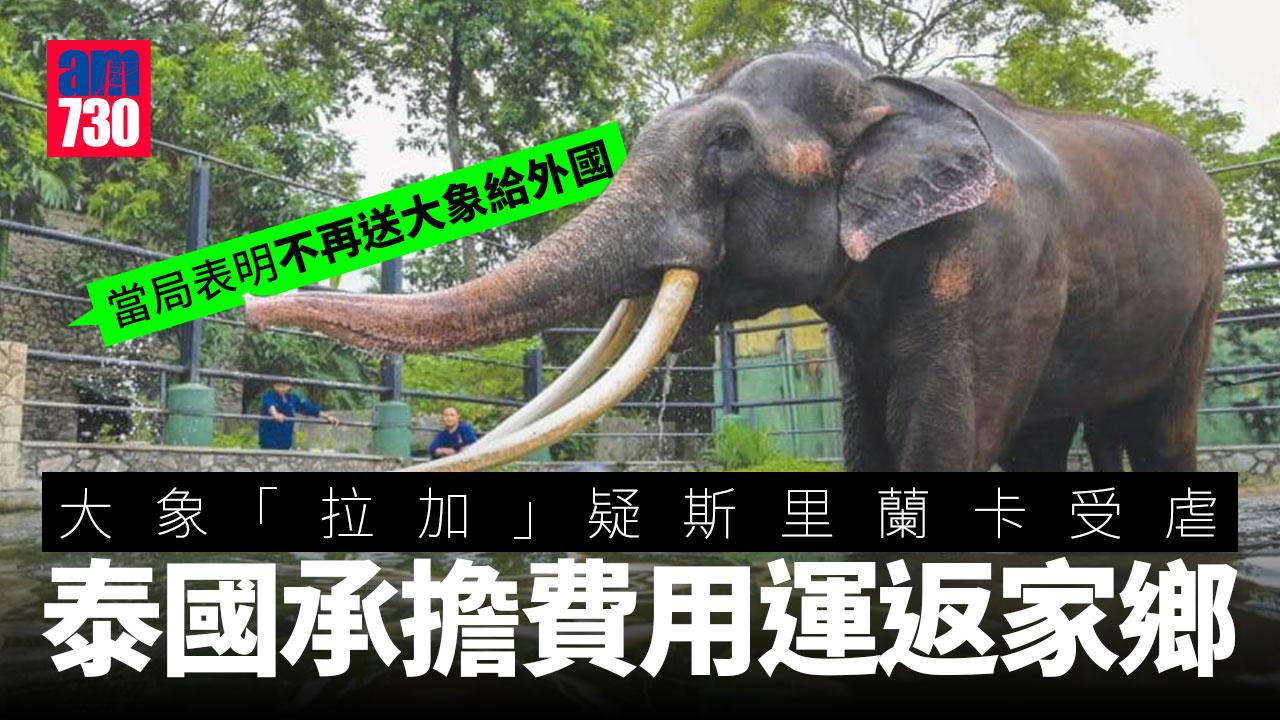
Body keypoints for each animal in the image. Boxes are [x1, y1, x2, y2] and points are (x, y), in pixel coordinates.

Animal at [245, 43, 1226, 472]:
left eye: (727, 144)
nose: (249, 302)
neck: (882, 90)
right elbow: (867, 431)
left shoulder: (995, 256)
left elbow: (942, 434)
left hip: (1204, 293)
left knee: (1158, 426)